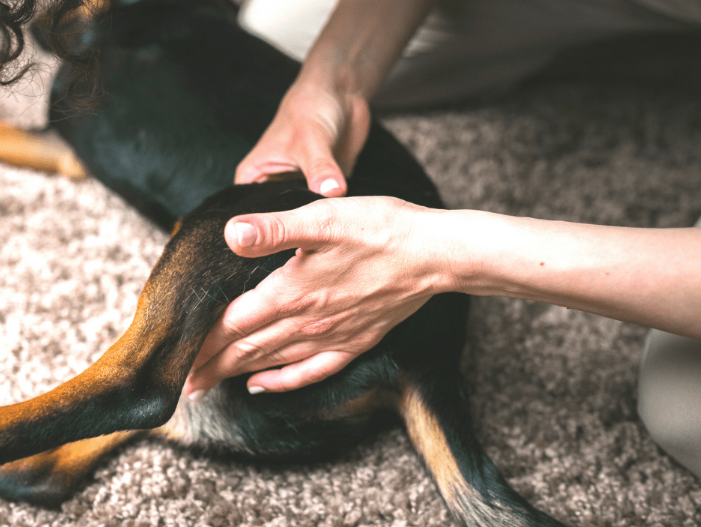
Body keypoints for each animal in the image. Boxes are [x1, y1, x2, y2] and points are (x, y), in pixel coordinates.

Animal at [0, 2, 568, 524]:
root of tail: (434, 361)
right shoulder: (64, 140)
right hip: (235, 400)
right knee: (47, 470)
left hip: (234, 217)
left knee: (139, 388)